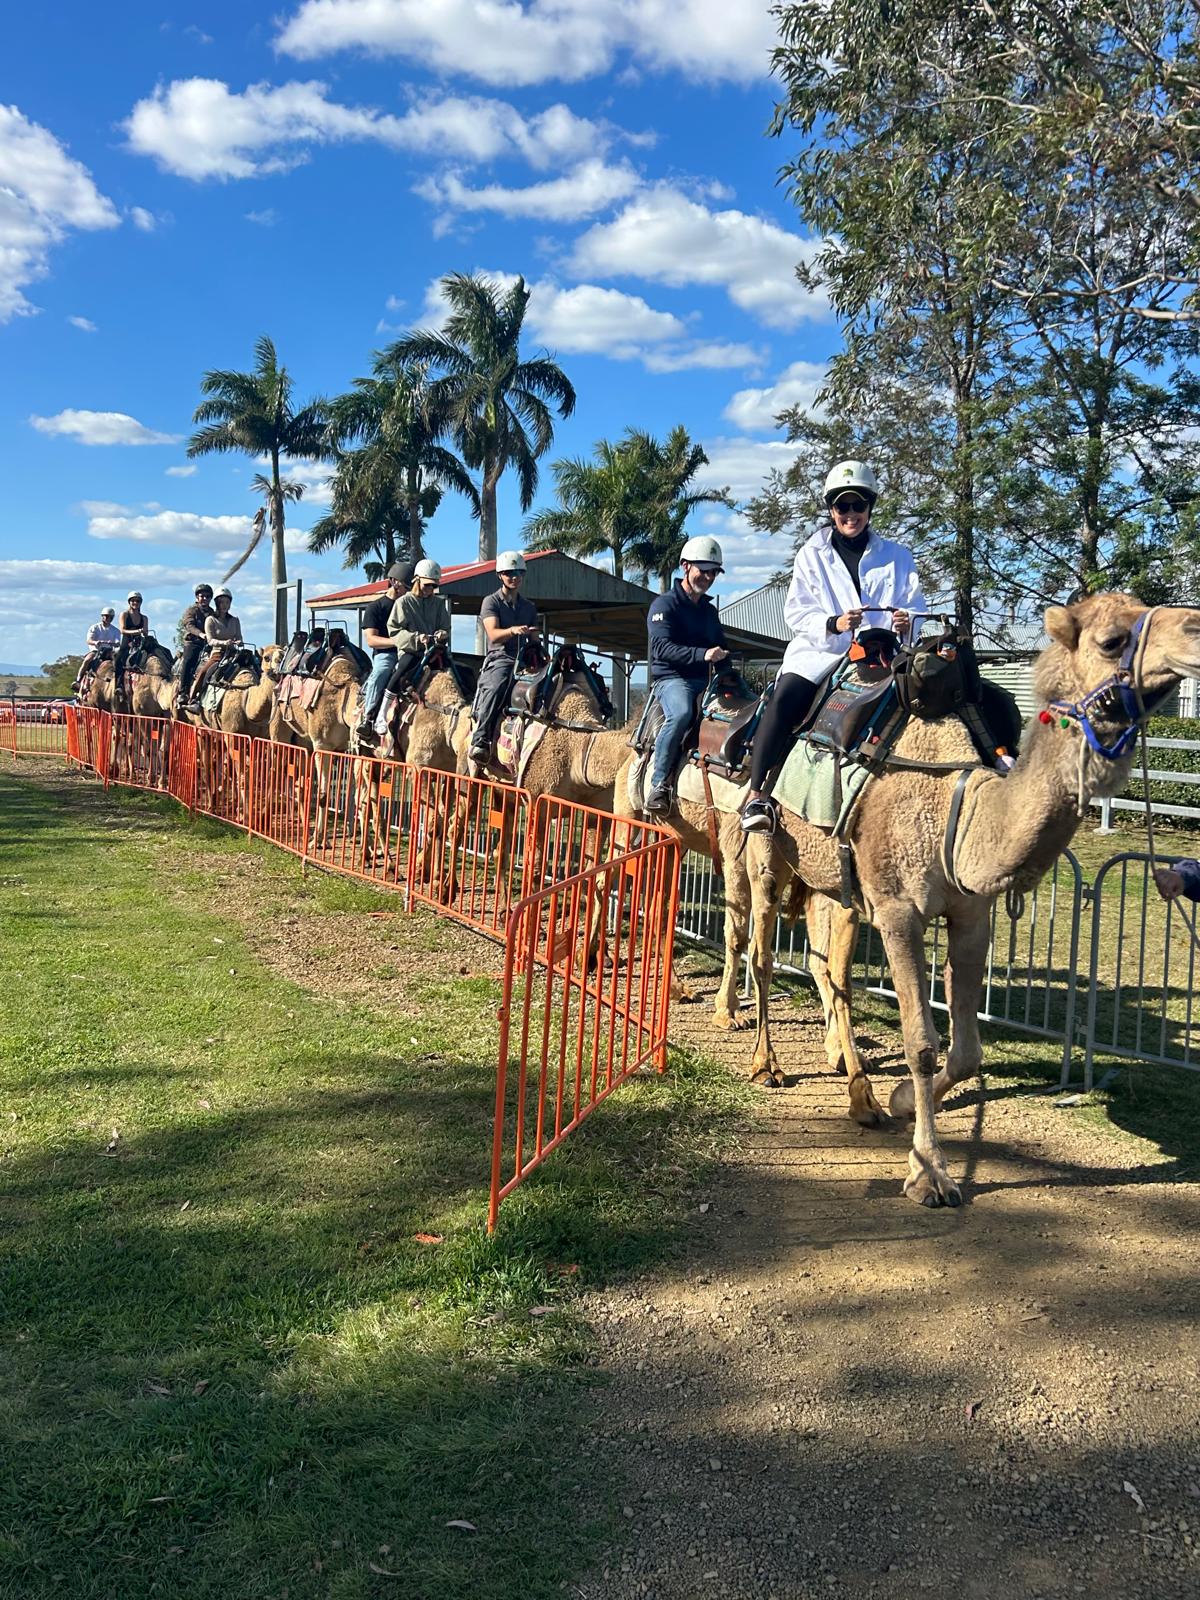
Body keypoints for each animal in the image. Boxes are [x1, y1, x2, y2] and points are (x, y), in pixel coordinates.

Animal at [744, 593, 1200, 1209]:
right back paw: (767, 1065)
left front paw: (901, 1100)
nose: (1196, 630)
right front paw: (929, 1173)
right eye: (1111, 640)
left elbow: (966, 1052)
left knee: (827, 968)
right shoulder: (898, 912)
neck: (955, 808)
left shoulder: (970, 914)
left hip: (827, 880)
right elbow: (921, 1043)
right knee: (764, 953)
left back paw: (858, 1089)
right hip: (767, 850)